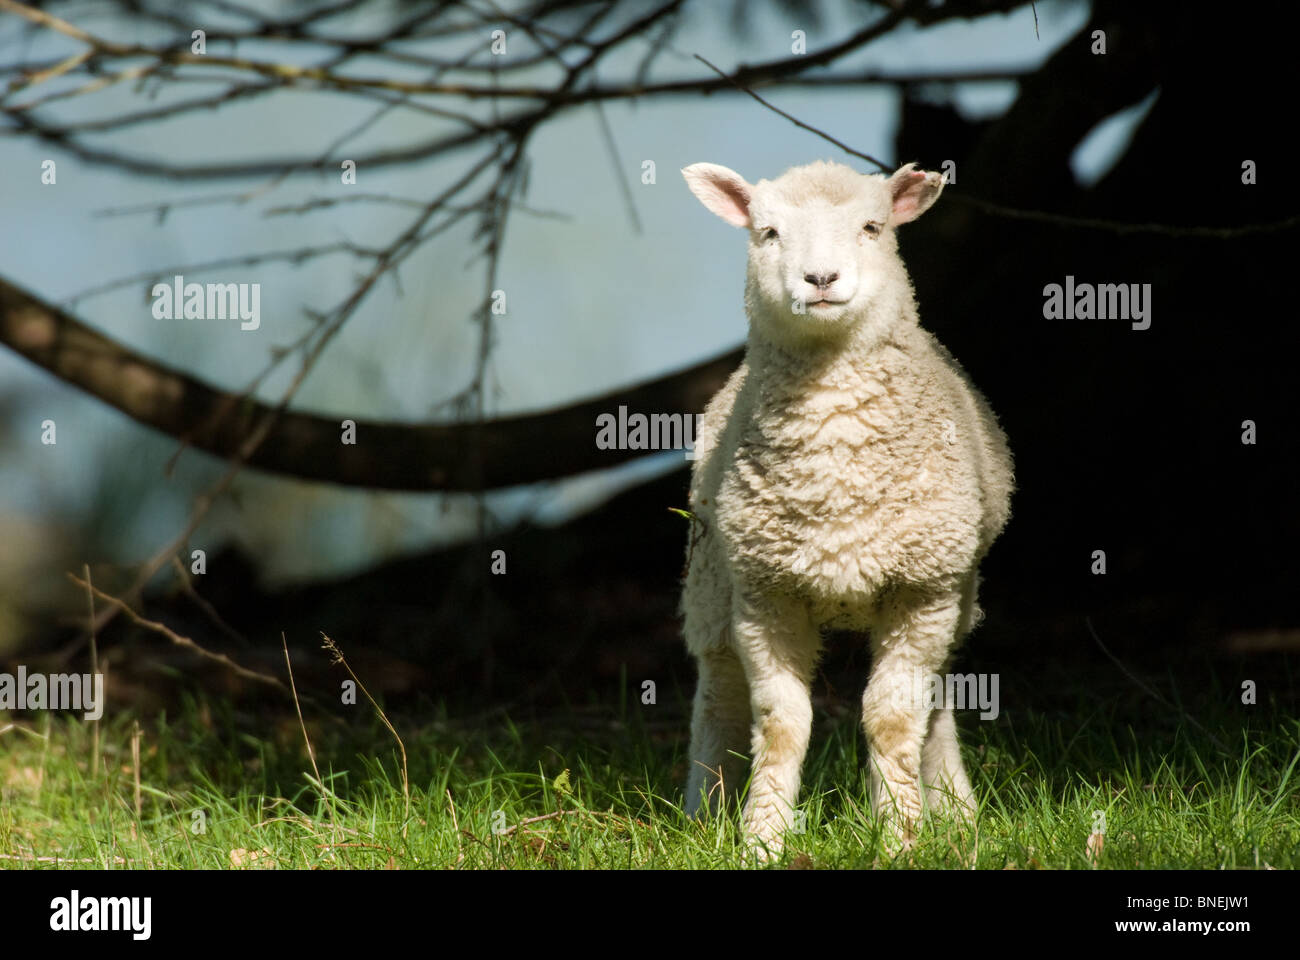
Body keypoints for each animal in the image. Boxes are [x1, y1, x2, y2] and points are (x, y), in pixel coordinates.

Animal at [681, 157, 1013, 853]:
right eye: (768, 232)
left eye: (872, 227)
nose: (821, 279)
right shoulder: (766, 593)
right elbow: (780, 723)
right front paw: (762, 840)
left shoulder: (924, 590)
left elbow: (893, 721)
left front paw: (903, 836)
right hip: (712, 577)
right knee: (718, 693)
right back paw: (703, 813)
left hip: (958, 593)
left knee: (937, 701)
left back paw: (956, 813)